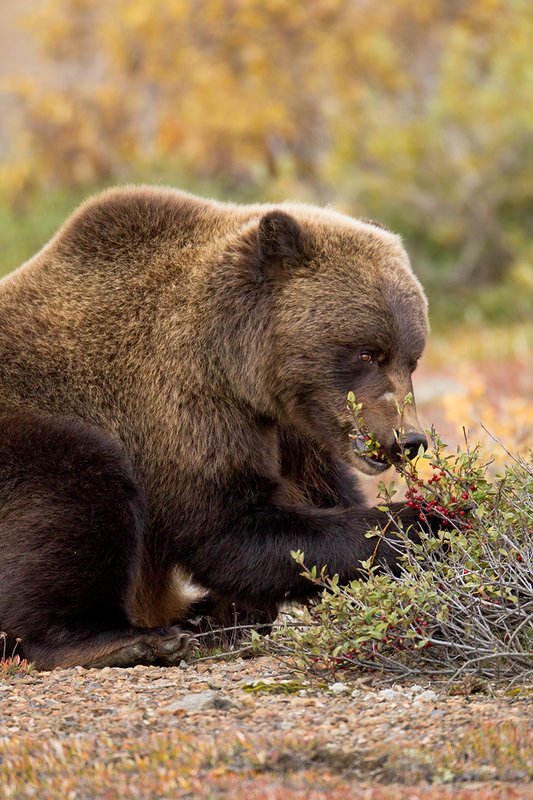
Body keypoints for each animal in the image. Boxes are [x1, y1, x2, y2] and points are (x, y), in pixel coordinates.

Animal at [0, 186, 430, 670]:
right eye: (367, 352)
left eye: (412, 359)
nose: (408, 439)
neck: (243, 371)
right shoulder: (181, 403)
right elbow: (227, 529)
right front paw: (432, 522)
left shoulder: (297, 429)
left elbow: (320, 497)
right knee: (75, 488)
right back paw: (131, 640)